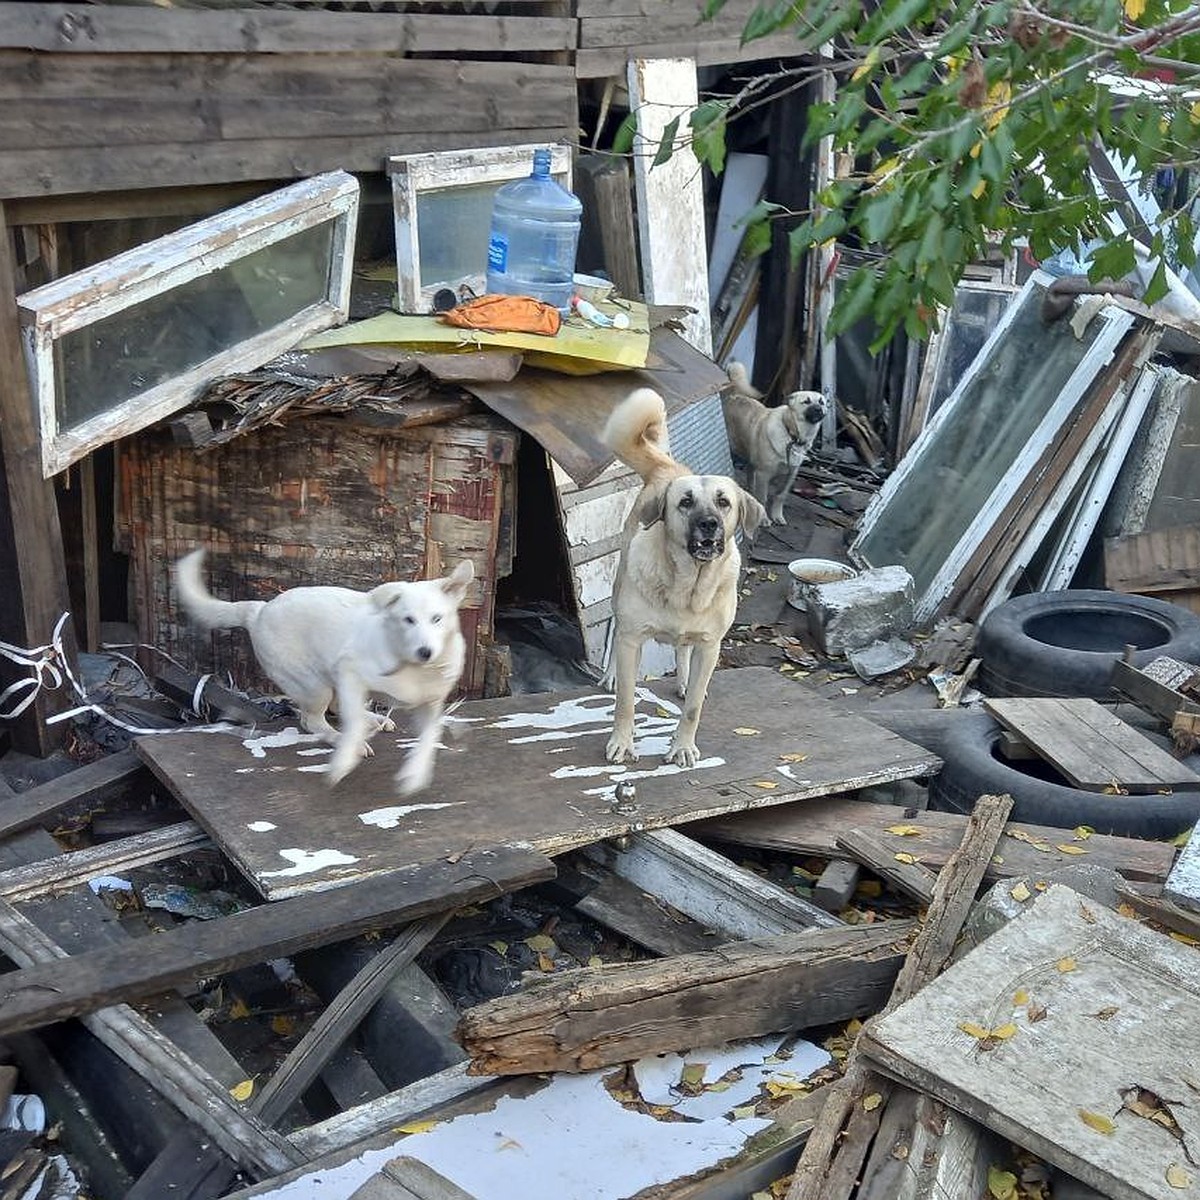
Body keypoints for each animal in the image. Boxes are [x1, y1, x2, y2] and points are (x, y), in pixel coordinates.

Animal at [174, 549, 472, 796]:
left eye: (437, 618)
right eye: (408, 619)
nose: (425, 651)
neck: (412, 665)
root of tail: (260, 611)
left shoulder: (430, 704)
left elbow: (428, 738)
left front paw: (415, 773)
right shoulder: (350, 671)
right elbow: (351, 722)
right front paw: (345, 757)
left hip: (330, 681)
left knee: (341, 709)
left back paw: (374, 719)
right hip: (315, 686)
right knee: (314, 720)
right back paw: (341, 737)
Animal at [604, 388, 763, 772]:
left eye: (724, 502)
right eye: (685, 503)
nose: (709, 524)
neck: (687, 584)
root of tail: (670, 468)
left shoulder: (710, 646)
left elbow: (692, 708)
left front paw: (682, 747)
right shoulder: (632, 639)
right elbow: (626, 701)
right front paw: (622, 743)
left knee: (682, 649)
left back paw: (685, 679)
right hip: (619, 587)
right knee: (616, 632)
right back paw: (612, 675)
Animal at [715, 357, 830, 523]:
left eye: (821, 402)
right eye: (806, 401)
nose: (818, 410)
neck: (792, 434)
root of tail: (732, 396)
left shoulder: (790, 476)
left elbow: (780, 496)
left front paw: (777, 516)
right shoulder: (764, 474)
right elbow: (763, 497)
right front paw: (764, 519)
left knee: (750, 475)